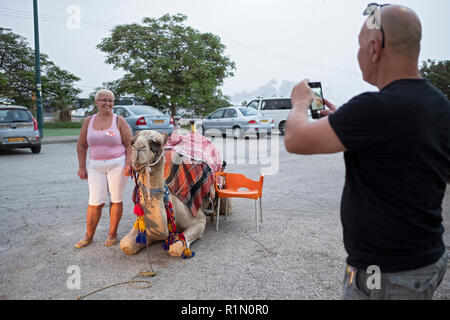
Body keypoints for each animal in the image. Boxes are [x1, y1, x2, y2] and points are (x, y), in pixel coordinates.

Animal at [118, 130, 219, 258]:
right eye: (132, 142)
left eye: (156, 143)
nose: (138, 148)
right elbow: (125, 244)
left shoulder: (198, 219)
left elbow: (176, 248)